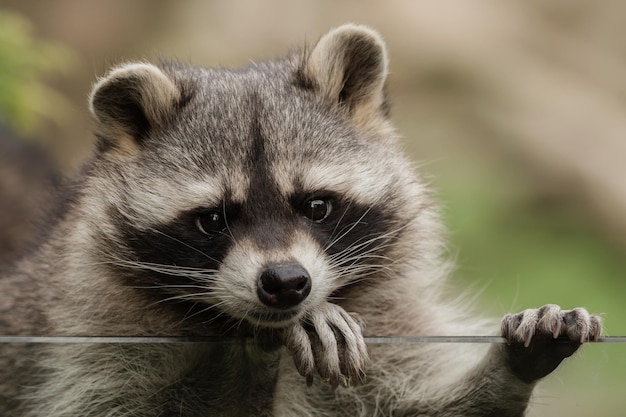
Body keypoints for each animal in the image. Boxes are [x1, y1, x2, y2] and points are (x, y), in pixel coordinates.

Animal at [0, 24, 600, 414]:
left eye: (316, 205)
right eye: (213, 220)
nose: (286, 284)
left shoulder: (388, 328)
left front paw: (516, 360)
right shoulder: (87, 349)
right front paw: (253, 358)